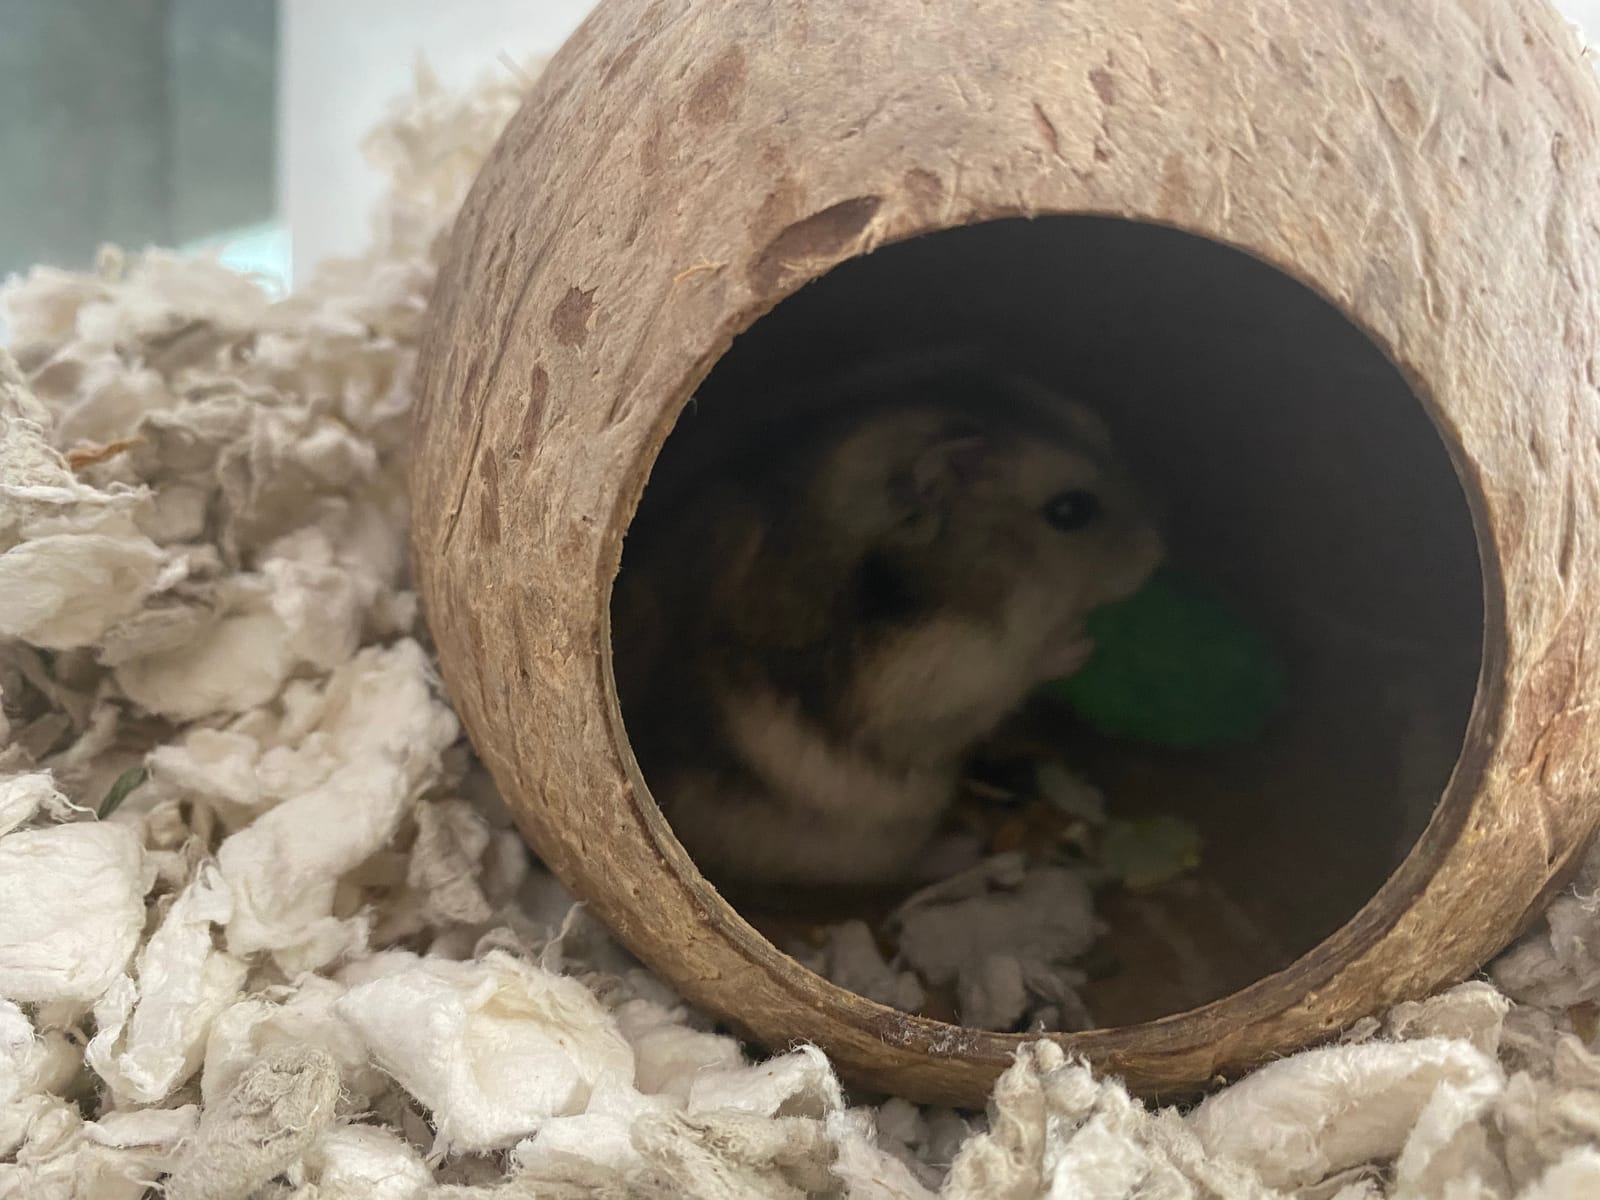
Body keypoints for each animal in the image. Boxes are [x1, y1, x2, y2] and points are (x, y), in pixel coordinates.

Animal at [611, 353, 1163, 888]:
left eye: (1101, 427)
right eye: (1070, 511)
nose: (1159, 549)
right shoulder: (934, 683)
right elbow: (1016, 670)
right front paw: (1078, 645)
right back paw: (963, 851)